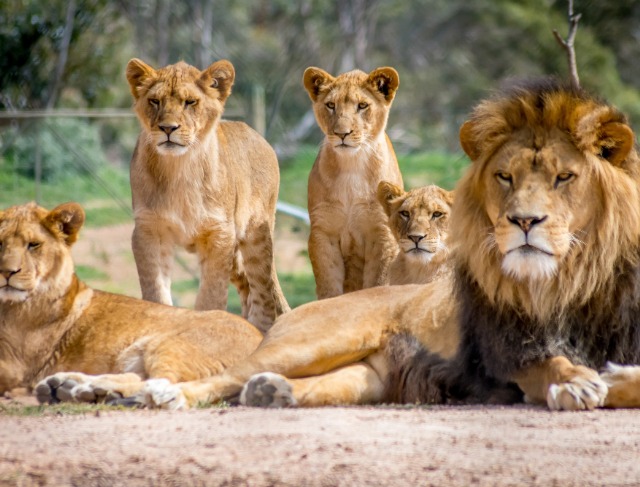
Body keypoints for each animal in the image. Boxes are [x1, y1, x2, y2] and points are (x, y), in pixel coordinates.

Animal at [0, 201, 262, 402]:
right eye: (0, 243)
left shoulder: (16, 366)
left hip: (169, 345)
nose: (7, 272)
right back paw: (70, 386)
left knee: (163, 381)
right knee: (143, 377)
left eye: (33, 245)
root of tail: (260, 336)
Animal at [126, 58, 289, 332]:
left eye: (190, 102)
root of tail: (260, 137)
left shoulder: (219, 234)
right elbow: (156, 291)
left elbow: (211, 296)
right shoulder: (148, 230)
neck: (178, 168)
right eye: (155, 101)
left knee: (263, 290)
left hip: (256, 234)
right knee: (247, 286)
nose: (168, 128)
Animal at [303, 66, 404, 299]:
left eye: (362, 106)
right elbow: (329, 286)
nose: (342, 134)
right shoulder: (323, 232)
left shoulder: (382, 233)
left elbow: (378, 283)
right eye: (331, 105)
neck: (352, 165)